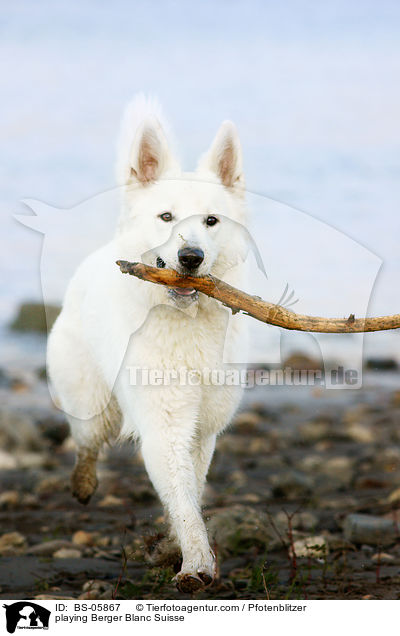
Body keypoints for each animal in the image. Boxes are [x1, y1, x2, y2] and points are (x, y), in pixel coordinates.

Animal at [47, 94, 250, 592]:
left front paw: (178, 548)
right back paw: (83, 483)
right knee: (85, 443)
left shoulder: (202, 431)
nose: (190, 257)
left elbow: (190, 492)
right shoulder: (166, 424)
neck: (185, 322)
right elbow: (183, 497)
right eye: (167, 217)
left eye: (211, 222)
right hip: (93, 406)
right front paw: (196, 564)